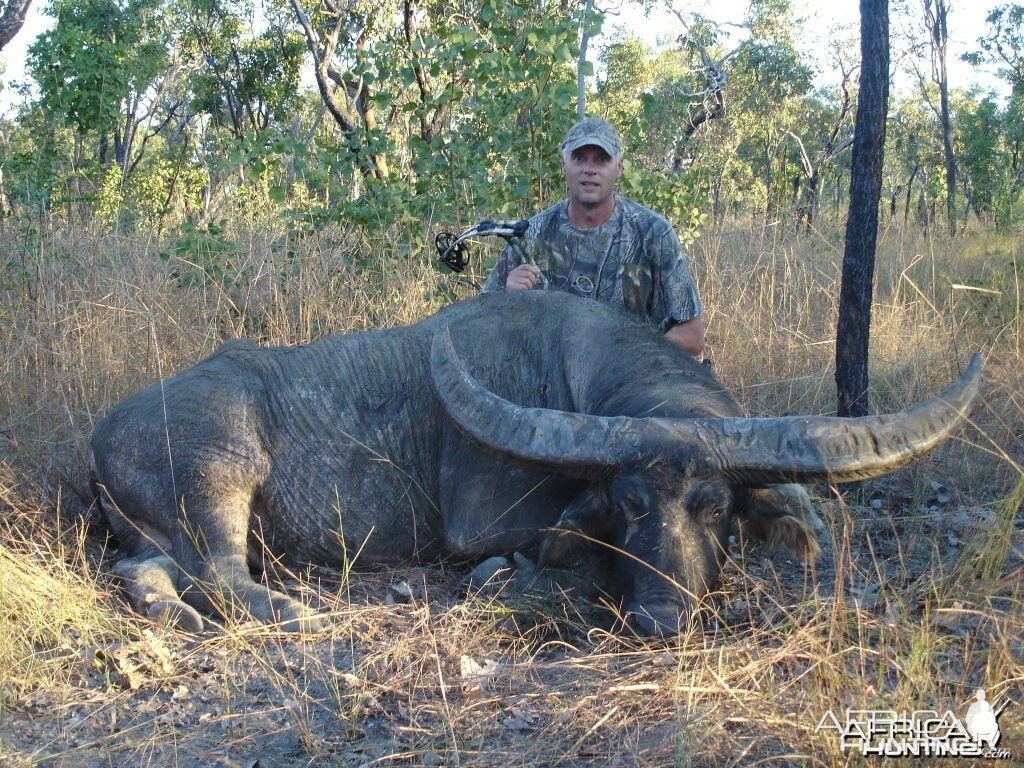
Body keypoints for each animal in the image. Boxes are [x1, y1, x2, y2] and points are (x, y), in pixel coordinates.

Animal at [92, 290, 978, 634]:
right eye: (628, 506)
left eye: (717, 508)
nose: (660, 620)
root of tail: (104, 430)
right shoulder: (483, 525)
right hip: (221, 472)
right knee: (221, 575)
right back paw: (299, 613)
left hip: (151, 533)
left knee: (147, 573)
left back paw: (163, 612)